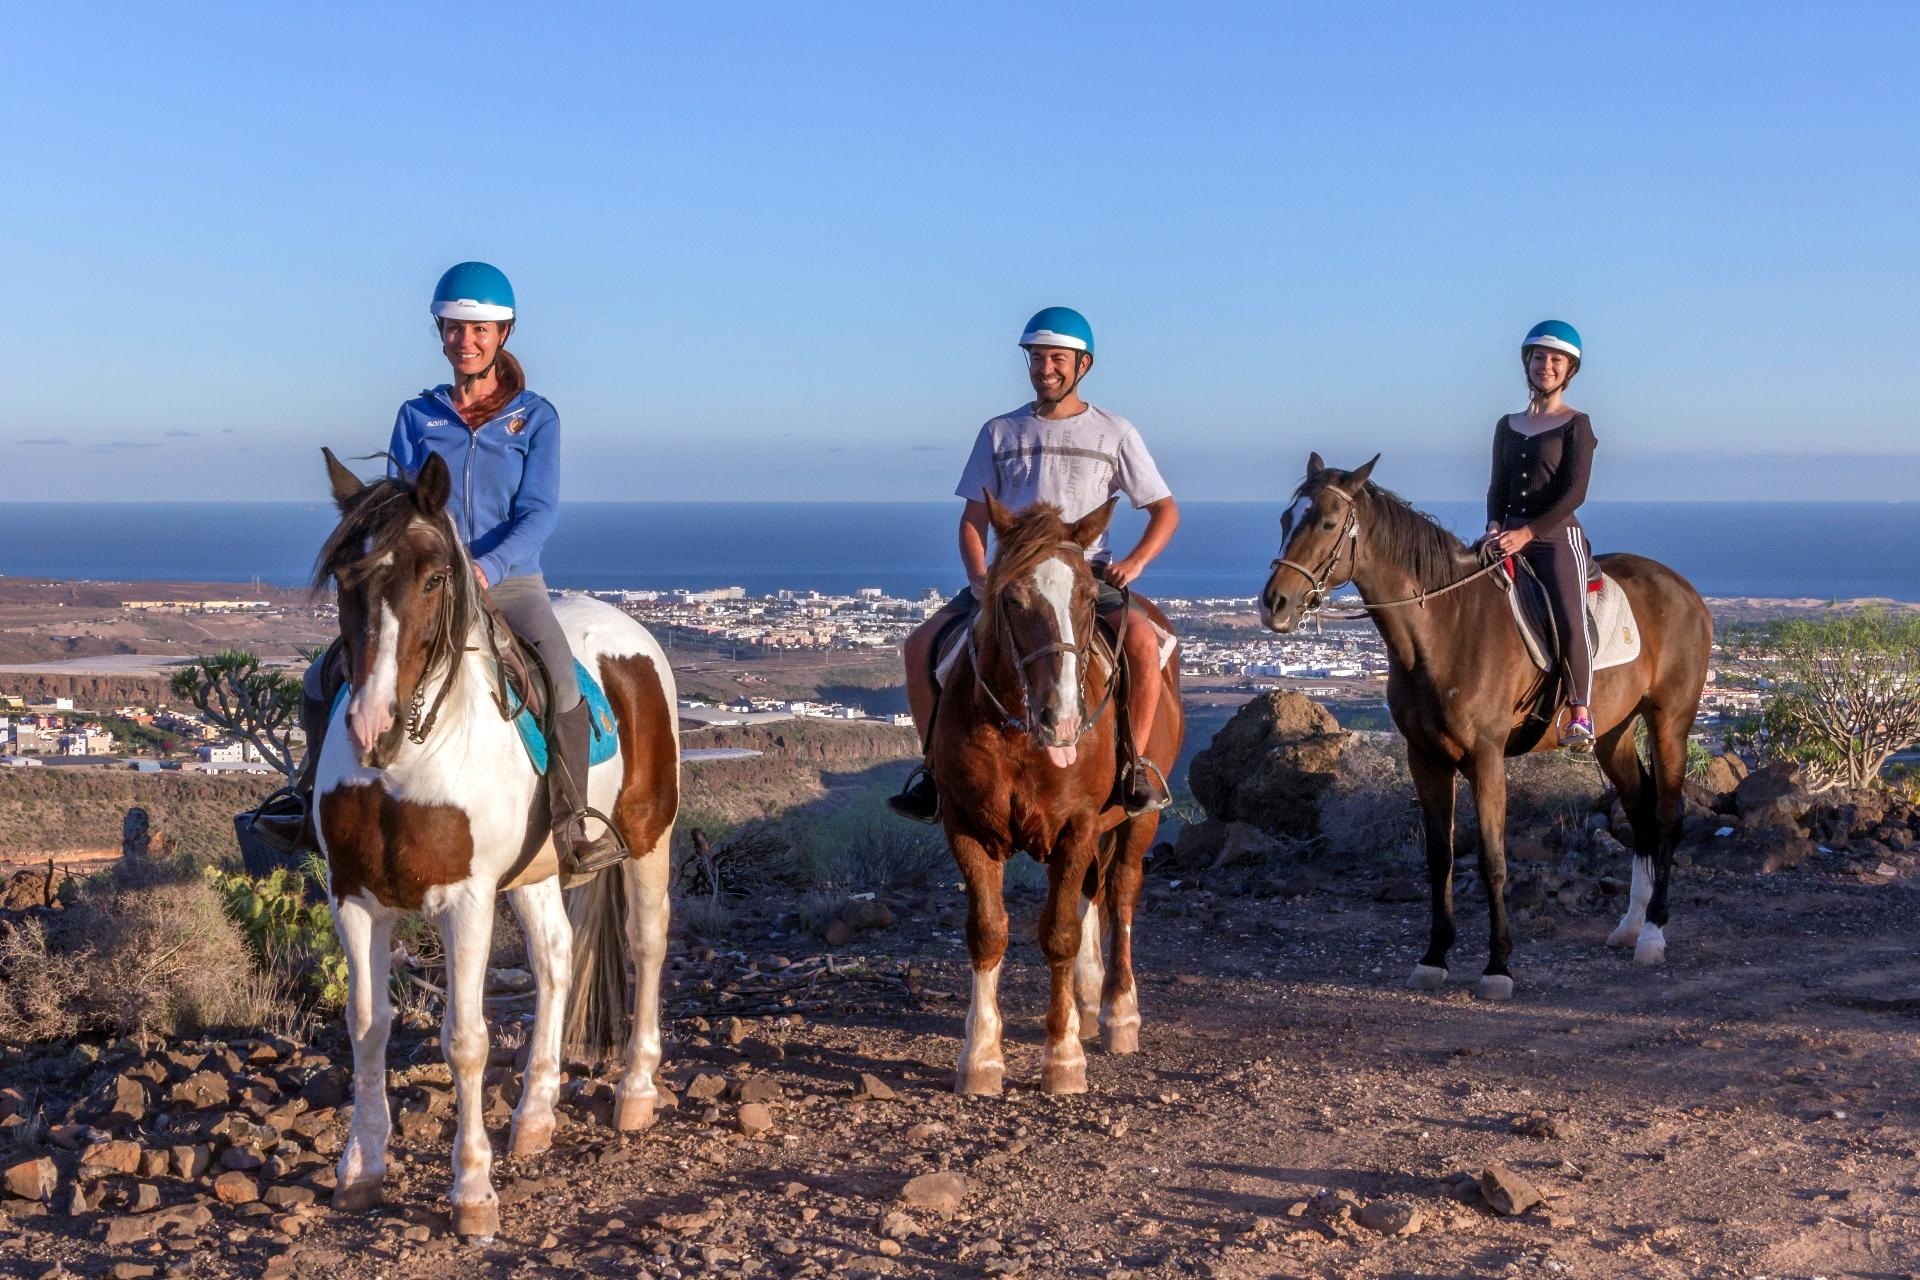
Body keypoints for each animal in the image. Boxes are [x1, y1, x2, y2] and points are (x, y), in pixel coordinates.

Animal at [311, 452, 679, 1243]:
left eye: (434, 578)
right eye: (345, 578)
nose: (371, 724)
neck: (408, 761)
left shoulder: (466, 901)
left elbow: (466, 1039)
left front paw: (473, 1191)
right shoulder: (354, 898)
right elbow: (367, 1027)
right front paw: (361, 1169)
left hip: (649, 838)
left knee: (647, 943)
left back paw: (636, 1091)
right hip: (536, 871)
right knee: (557, 958)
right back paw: (536, 1116)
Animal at [933, 495, 1182, 1097]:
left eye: (1089, 599)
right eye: (1011, 598)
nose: (1063, 719)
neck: (1021, 734)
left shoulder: (1077, 824)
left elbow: (1060, 933)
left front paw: (1063, 1057)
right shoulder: (967, 825)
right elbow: (988, 931)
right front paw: (980, 1056)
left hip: (1136, 820)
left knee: (1119, 894)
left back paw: (1117, 1011)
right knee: (1093, 892)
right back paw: (1086, 1002)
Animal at [1259, 454, 1712, 997]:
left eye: (1327, 523)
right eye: (1284, 520)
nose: (1274, 605)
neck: (1445, 628)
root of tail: (1683, 589)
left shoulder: (1487, 757)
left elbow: (1494, 861)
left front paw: (1499, 966)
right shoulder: (1425, 757)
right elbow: (1440, 858)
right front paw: (1433, 957)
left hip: (1670, 724)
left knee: (1666, 817)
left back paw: (1653, 934)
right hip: (1613, 735)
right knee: (1641, 810)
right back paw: (1630, 925)